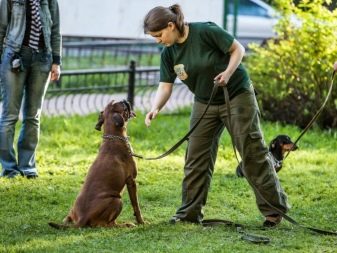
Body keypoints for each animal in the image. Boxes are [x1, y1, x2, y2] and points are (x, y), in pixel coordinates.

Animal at [48, 100, 143, 228]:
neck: (114, 137)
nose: (125, 100)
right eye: (123, 106)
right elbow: (136, 206)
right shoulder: (131, 180)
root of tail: (82, 219)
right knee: (108, 224)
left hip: (72, 212)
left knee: (67, 218)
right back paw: (125, 225)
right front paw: (142, 222)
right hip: (117, 200)